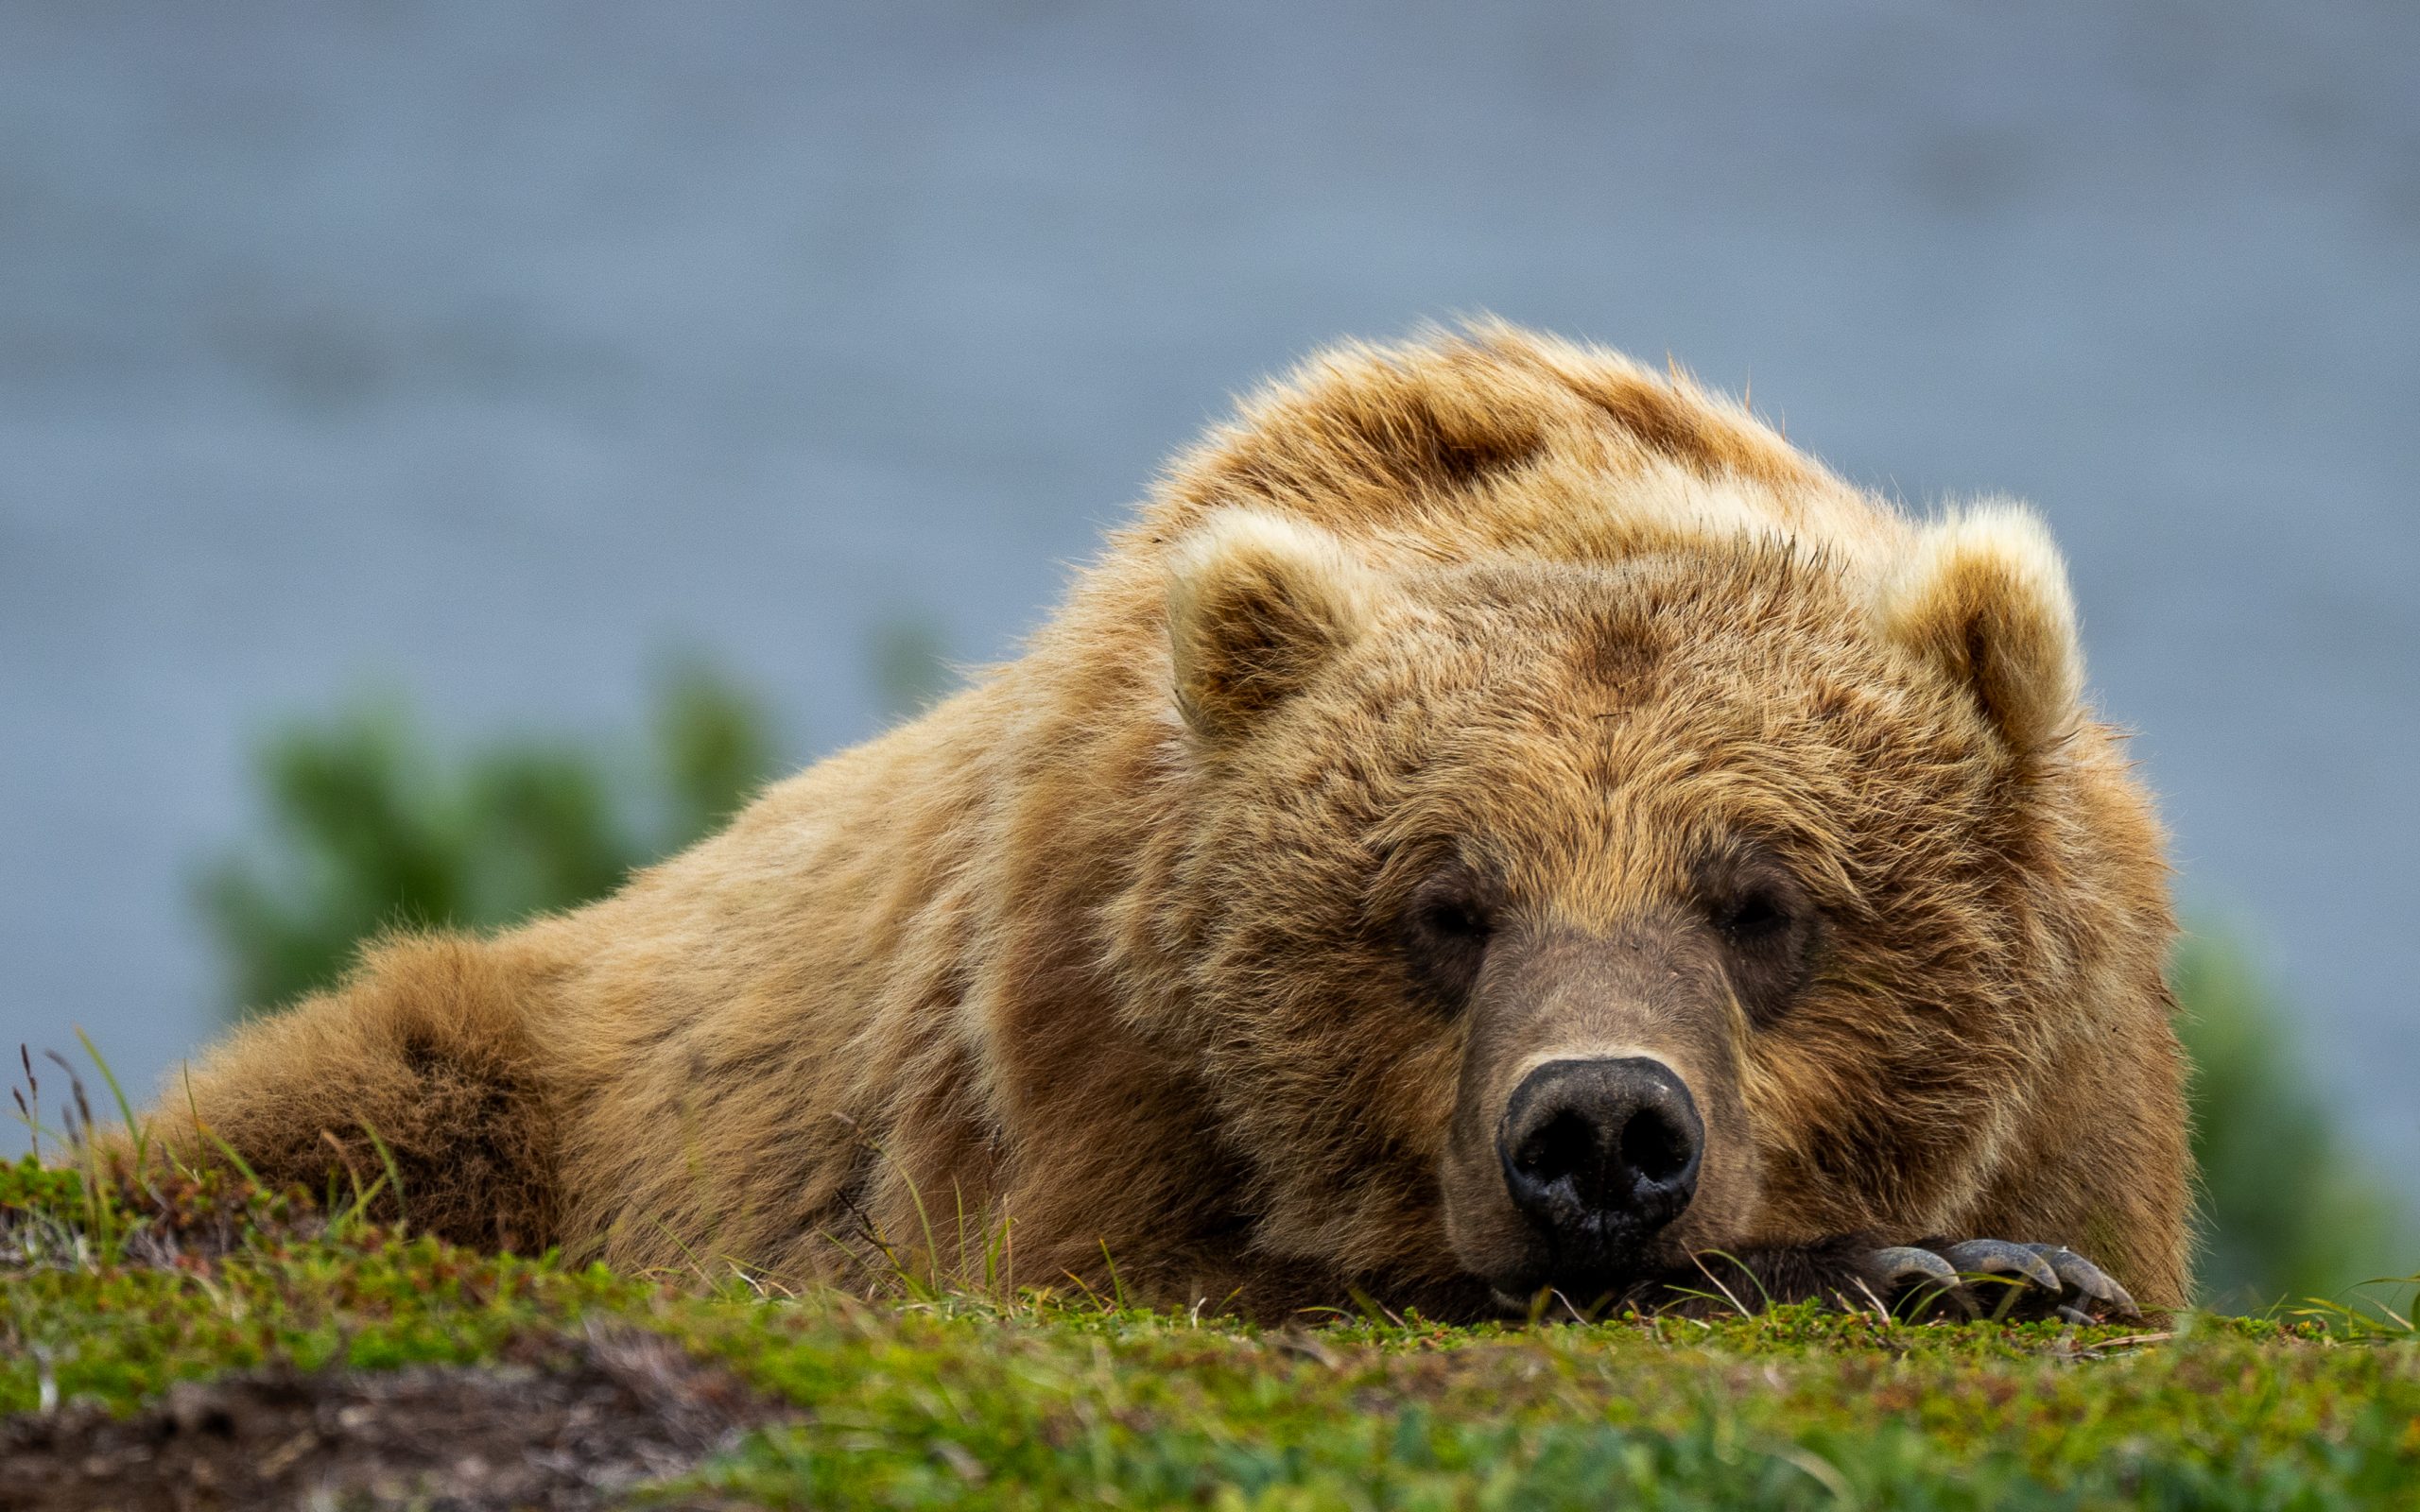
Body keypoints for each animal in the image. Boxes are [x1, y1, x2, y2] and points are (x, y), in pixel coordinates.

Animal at [151, 322, 2191, 1321]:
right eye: (1442, 903)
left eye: (1764, 900)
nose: (1602, 1131)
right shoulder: (1081, 1041)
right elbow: (1166, 1277)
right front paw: (1914, 1267)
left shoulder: (2085, 1076)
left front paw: (1985, 1261)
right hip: (518, 1071)